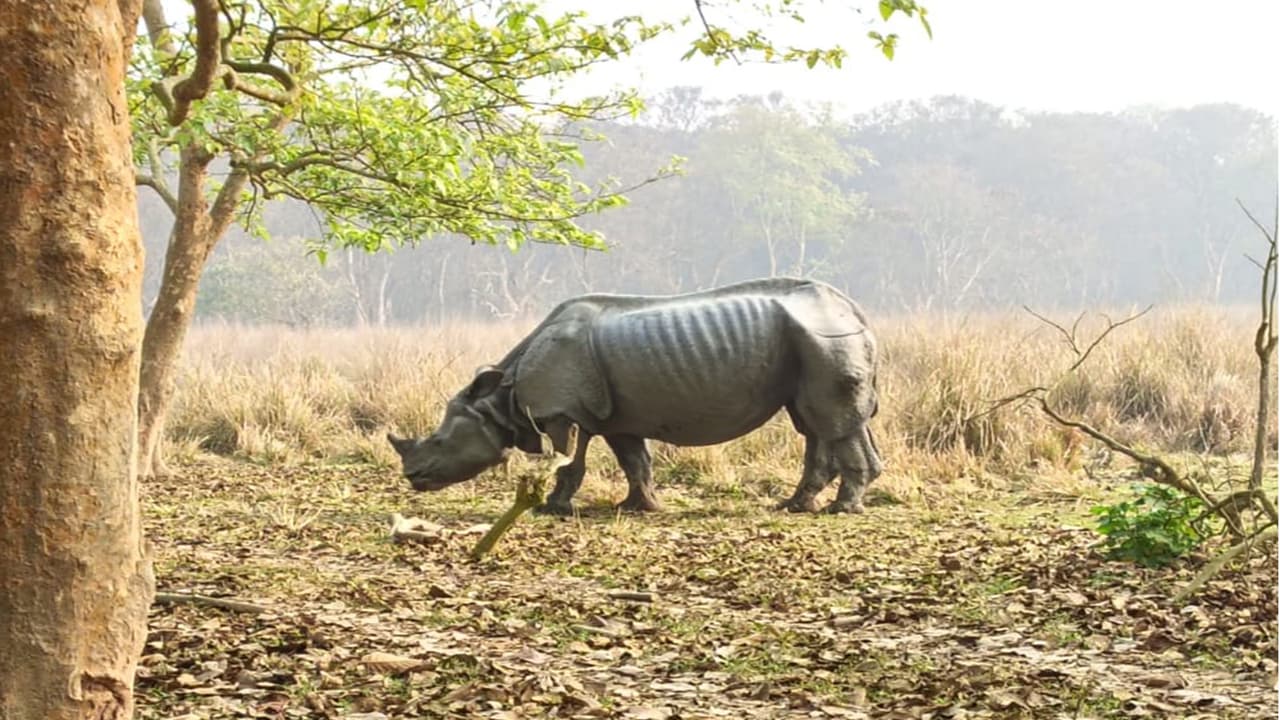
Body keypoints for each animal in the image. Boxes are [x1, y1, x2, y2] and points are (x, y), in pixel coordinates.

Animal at [388, 278, 883, 515]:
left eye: (439, 441)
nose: (412, 477)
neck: (499, 399)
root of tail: (854, 309)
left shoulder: (562, 411)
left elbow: (569, 461)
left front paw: (552, 508)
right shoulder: (616, 417)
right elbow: (633, 460)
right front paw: (638, 507)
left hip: (822, 339)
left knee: (831, 421)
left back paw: (840, 510)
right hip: (811, 343)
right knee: (814, 422)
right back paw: (795, 506)